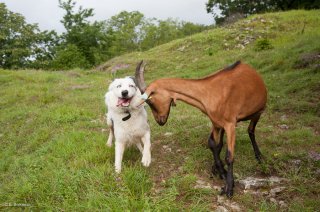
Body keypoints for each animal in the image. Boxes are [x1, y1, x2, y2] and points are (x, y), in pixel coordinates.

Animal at [135, 60, 268, 197]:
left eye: (150, 102)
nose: (159, 121)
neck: (208, 91)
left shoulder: (230, 124)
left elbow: (229, 156)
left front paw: (229, 187)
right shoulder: (216, 123)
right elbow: (214, 145)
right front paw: (220, 172)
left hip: (258, 111)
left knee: (251, 131)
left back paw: (259, 157)